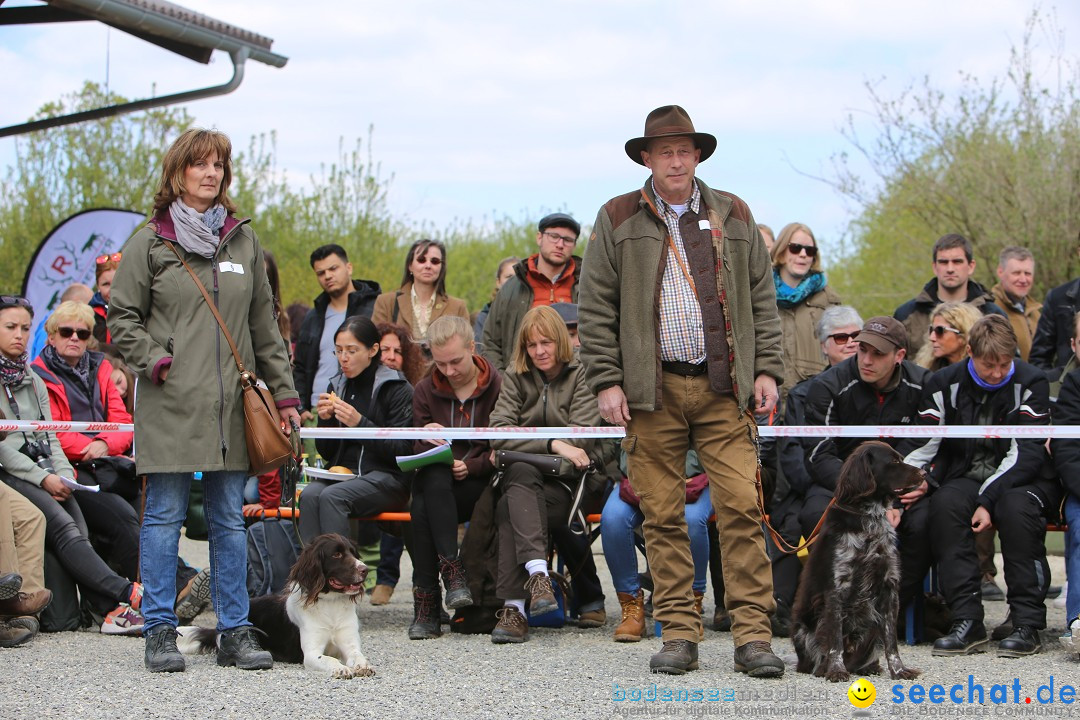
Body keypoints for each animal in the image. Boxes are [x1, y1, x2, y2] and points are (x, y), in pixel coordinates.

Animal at [179, 533, 373, 677]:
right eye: (336, 554)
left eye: (353, 553)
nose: (365, 570)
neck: (330, 605)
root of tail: (218, 630)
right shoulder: (311, 653)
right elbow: (329, 659)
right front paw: (340, 668)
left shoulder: (349, 644)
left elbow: (358, 655)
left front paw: (362, 666)